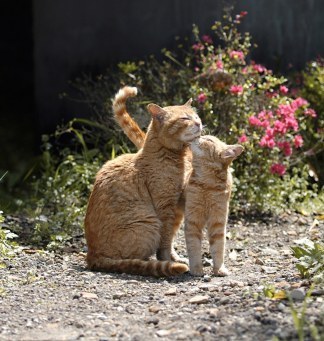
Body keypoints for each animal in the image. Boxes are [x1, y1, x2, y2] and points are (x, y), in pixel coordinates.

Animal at [85, 85, 201, 276]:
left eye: (197, 116)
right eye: (185, 118)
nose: (199, 124)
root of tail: (91, 255)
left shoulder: (177, 204)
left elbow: (169, 238)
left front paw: (173, 258)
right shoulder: (165, 207)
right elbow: (165, 242)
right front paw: (168, 261)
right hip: (149, 224)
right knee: (131, 259)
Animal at [185, 134, 243, 274]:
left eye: (209, 140)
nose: (198, 135)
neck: (207, 184)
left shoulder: (218, 222)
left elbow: (218, 247)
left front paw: (219, 269)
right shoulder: (193, 221)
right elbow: (194, 247)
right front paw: (196, 269)